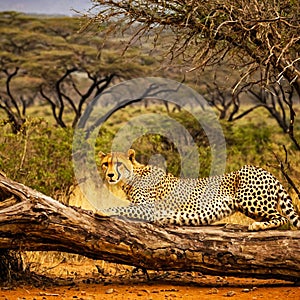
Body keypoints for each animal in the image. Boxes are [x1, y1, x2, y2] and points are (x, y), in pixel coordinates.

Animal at [99, 149, 300, 231]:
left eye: (119, 164)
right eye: (105, 164)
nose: (110, 175)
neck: (132, 176)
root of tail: (267, 172)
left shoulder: (148, 208)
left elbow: (122, 208)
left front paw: (101, 210)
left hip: (247, 193)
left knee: (281, 217)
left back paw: (258, 226)